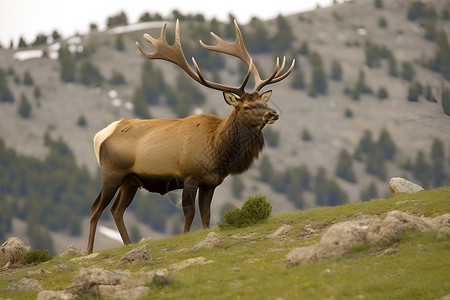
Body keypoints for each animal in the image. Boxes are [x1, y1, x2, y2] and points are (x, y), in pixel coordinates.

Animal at [85, 19, 294, 253]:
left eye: (263, 101)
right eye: (247, 107)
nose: (273, 113)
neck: (218, 150)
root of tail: (100, 135)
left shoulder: (211, 183)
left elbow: (206, 216)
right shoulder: (190, 176)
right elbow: (189, 214)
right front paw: (186, 238)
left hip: (130, 180)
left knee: (117, 210)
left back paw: (128, 244)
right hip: (112, 173)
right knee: (95, 207)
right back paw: (89, 251)